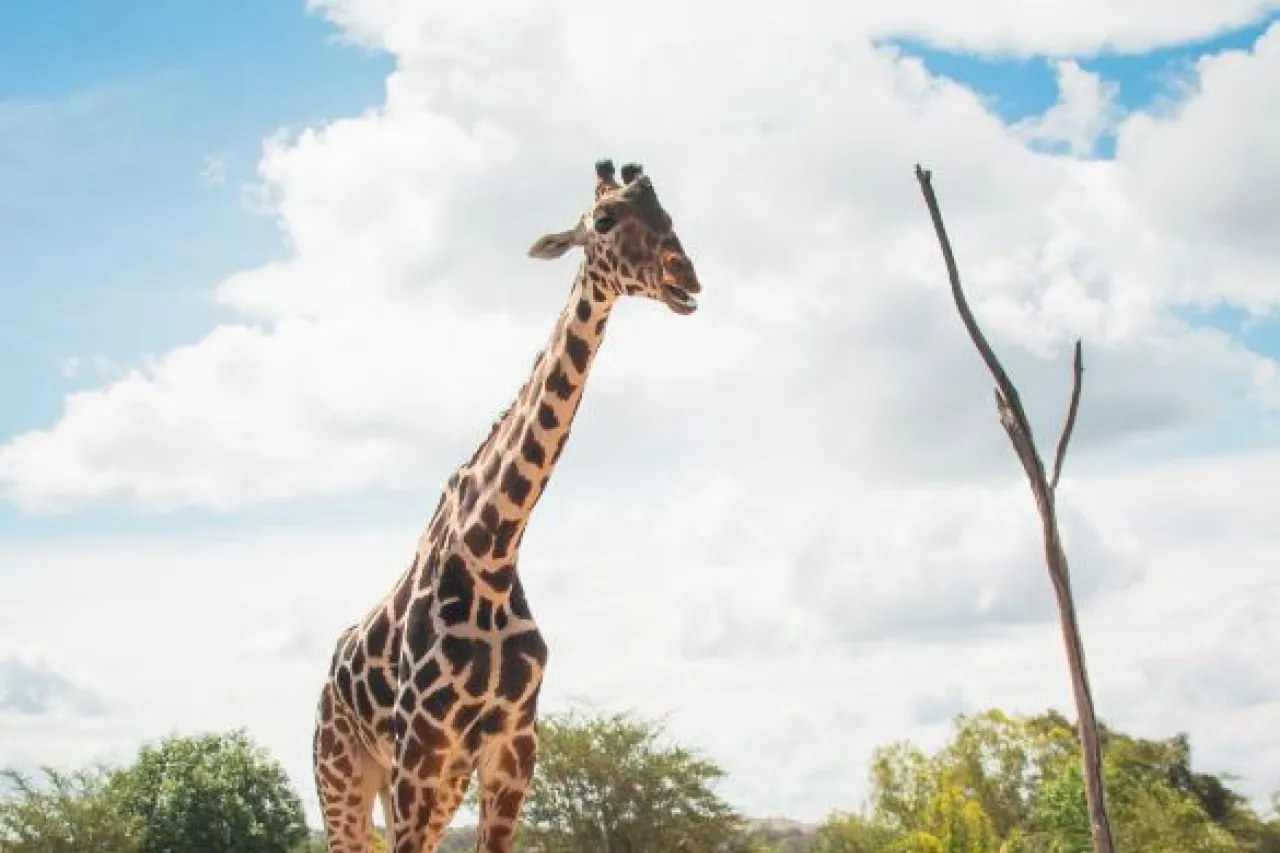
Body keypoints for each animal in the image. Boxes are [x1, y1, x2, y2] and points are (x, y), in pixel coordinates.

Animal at [313, 159, 706, 850]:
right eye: (605, 219)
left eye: (668, 215)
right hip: (345, 776)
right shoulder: (422, 748)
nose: (685, 277)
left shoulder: (513, 748)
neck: (490, 553)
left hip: (431, 784)